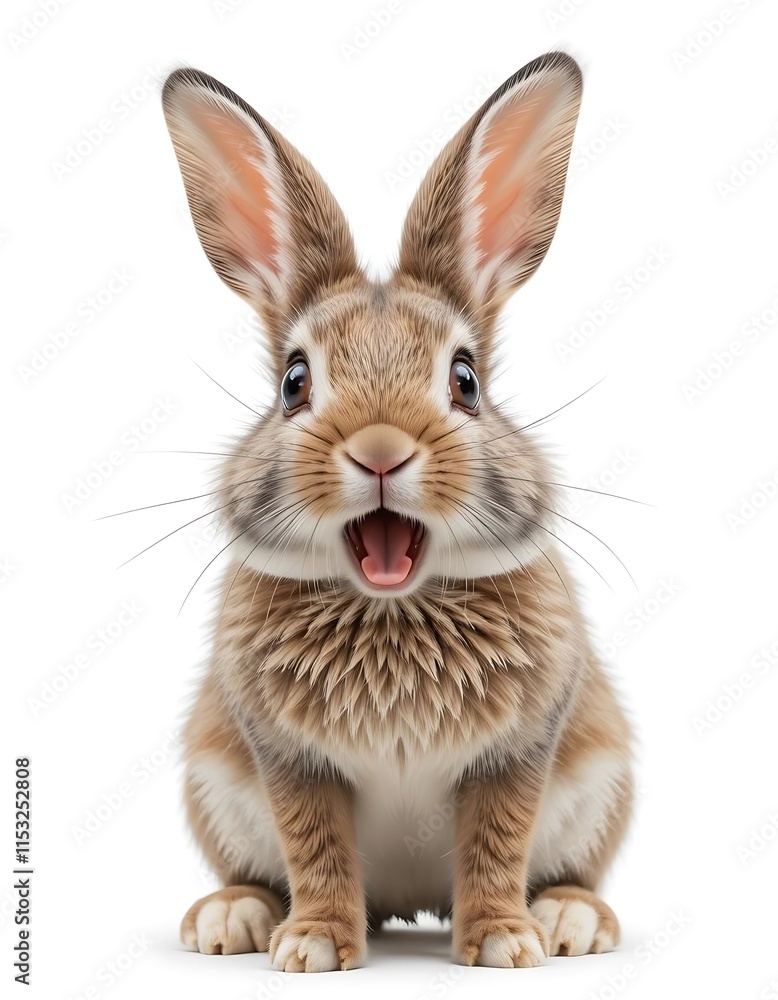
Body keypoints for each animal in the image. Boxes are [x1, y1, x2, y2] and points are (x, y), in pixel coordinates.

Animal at [161, 51, 633, 973]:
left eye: (466, 380)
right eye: (294, 383)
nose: (380, 449)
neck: (391, 607)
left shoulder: (519, 753)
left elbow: (496, 842)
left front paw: (503, 945)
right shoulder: (286, 759)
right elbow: (314, 847)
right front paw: (312, 946)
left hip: (602, 782)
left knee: (575, 870)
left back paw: (569, 920)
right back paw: (232, 917)